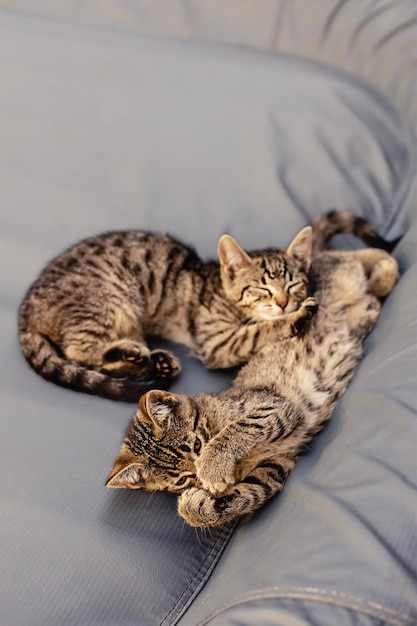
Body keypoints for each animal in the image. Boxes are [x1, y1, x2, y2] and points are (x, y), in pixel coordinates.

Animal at [18, 207, 396, 398]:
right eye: (262, 288)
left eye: (293, 283)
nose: (284, 302)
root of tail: (26, 310)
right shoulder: (218, 342)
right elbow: (261, 331)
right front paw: (294, 319)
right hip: (108, 300)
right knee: (79, 351)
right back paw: (135, 356)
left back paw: (153, 361)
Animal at [105, 246, 398, 524]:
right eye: (182, 479)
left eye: (197, 446)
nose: (198, 478)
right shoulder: (275, 466)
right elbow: (242, 496)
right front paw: (197, 504)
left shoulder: (277, 407)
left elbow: (239, 429)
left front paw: (213, 466)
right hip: (364, 315)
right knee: (368, 294)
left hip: (339, 275)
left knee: (346, 256)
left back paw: (380, 272)